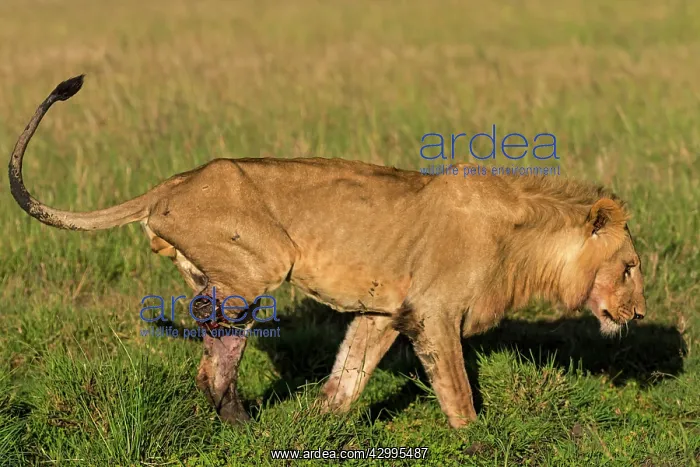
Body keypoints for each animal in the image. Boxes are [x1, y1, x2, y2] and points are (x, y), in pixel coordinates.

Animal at [8, 75, 646, 429]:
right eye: (630, 267)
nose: (639, 314)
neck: (524, 240)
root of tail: (174, 182)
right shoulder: (434, 312)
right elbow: (457, 390)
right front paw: (476, 440)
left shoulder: (386, 311)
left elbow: (349, 376)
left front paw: (321, 425)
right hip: (262, 261)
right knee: (215, 336)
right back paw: (237, 418)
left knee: (214, 342)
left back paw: (239, 422)